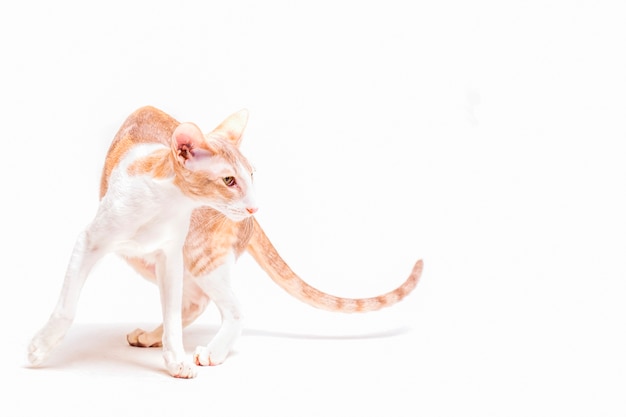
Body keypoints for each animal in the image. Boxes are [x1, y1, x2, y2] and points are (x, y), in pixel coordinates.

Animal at [26, 106, 422, 376]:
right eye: (229, 180)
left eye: (252, 175)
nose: (254, 205)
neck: (164, 204)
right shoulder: (93, 241)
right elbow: (67, 307)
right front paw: (41, 348)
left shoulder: (170, 255)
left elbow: (174, 315)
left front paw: (175, 358)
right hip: (148, 261)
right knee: (194, 302)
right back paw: (153, 337)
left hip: (198, 257)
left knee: (230, 307)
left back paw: (212, 350)